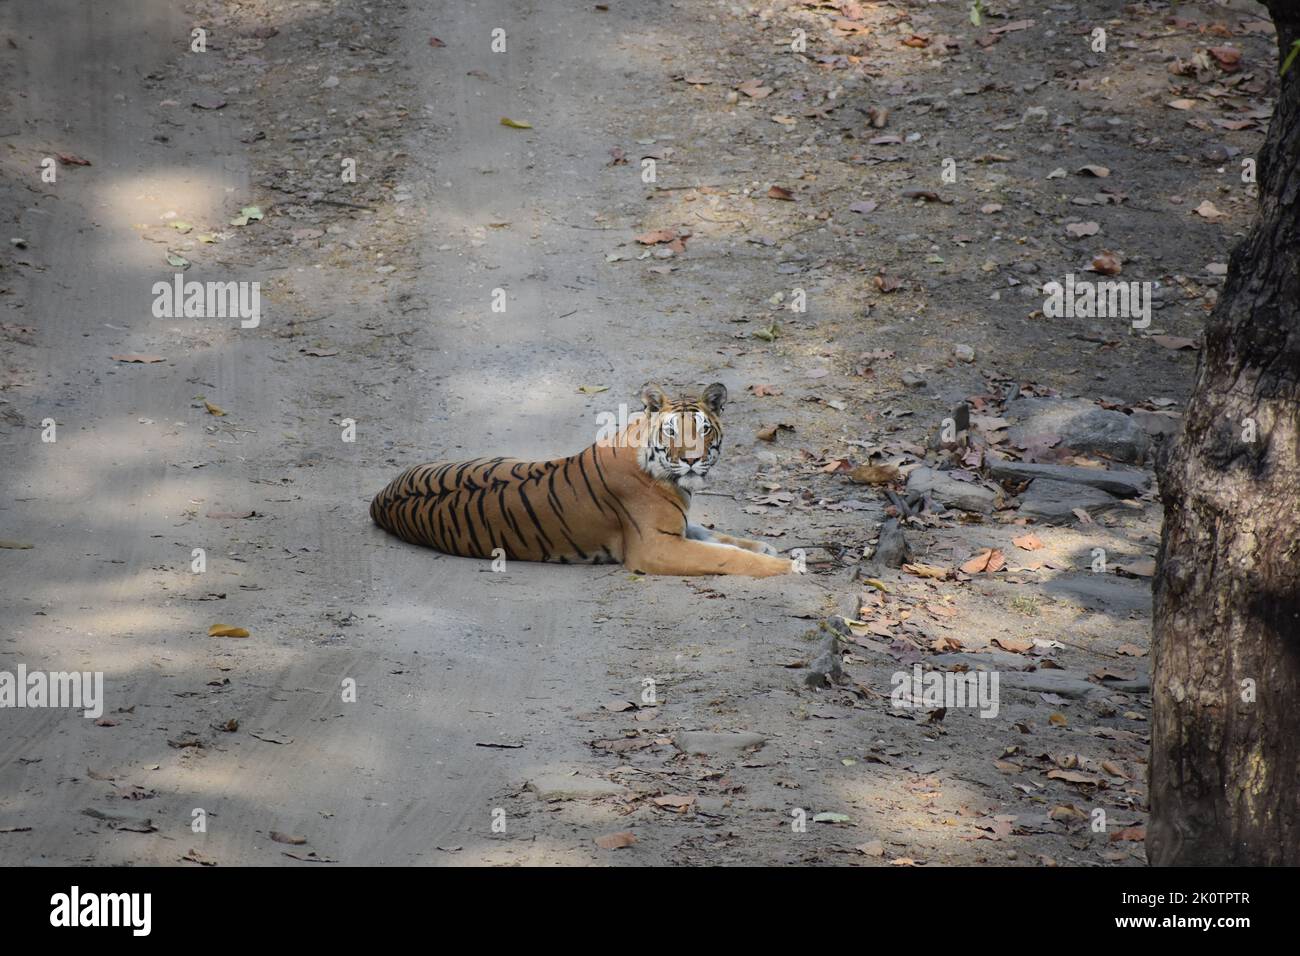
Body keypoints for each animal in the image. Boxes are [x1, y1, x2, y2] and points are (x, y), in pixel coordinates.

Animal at [366, 382, 790, 574]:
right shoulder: (655, 546)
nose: (691, 461)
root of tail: (378, 498)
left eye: (702, 429)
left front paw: (767, 547)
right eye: (672, 432)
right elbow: (725, 556)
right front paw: (788, 567)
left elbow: (724, 540)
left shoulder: (679, 529)